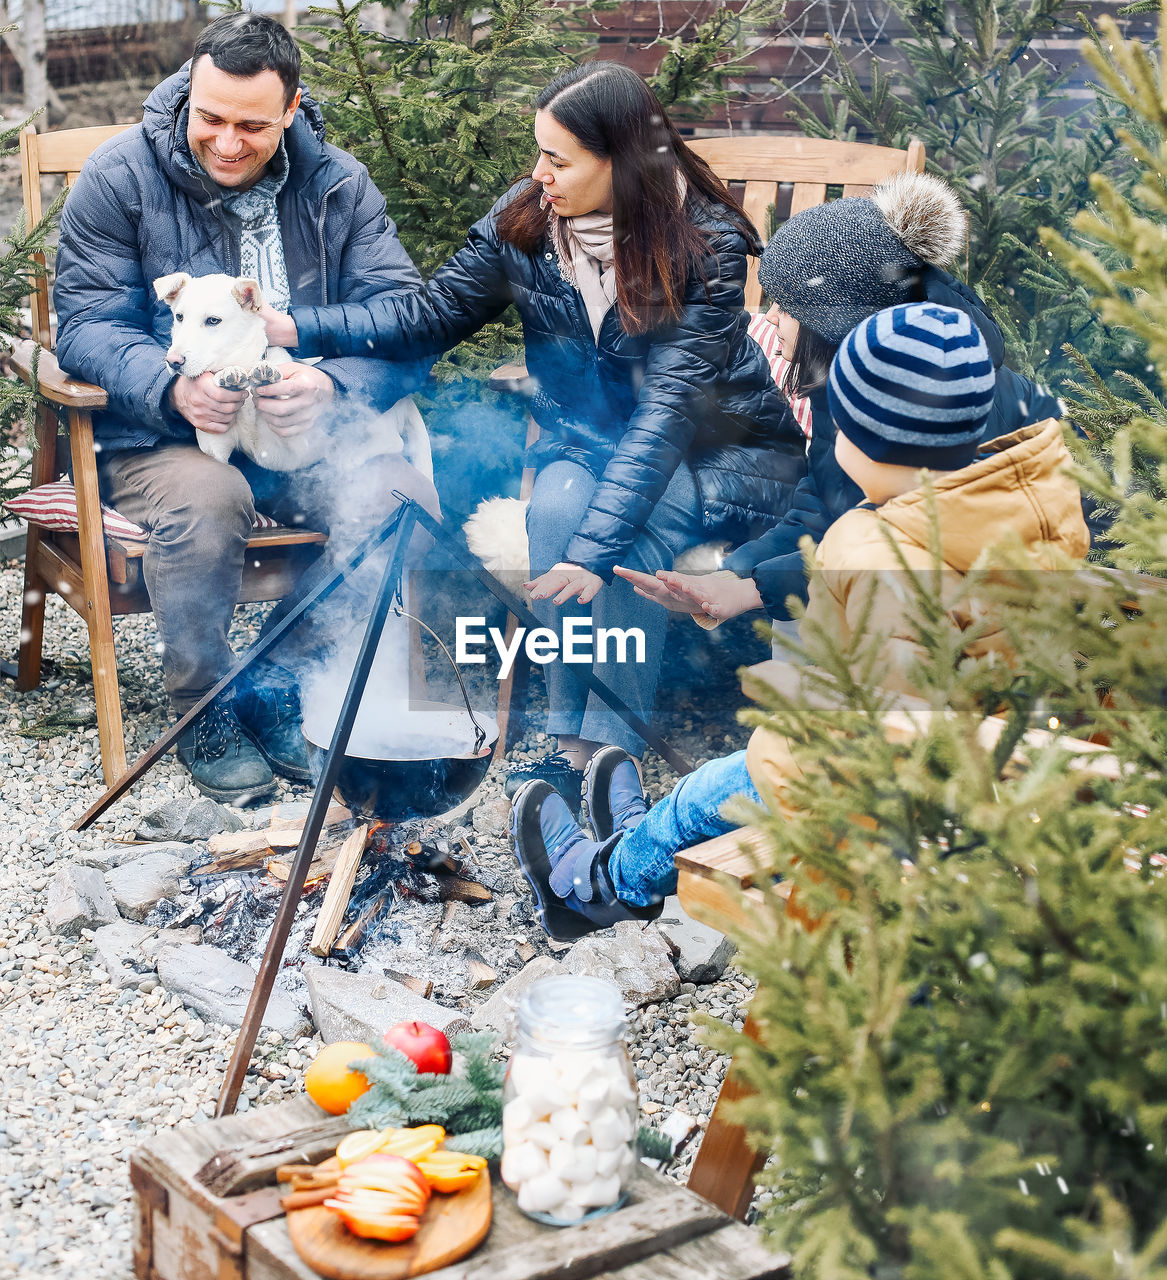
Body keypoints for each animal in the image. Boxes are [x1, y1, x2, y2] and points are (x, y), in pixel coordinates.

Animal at [152, 271, 327, 471]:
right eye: (179, 317)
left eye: (213, 320)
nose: (172, 361)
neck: (245, 366)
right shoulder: (215, 448)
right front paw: (229, 375)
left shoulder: (288, 452)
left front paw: (267, 380)